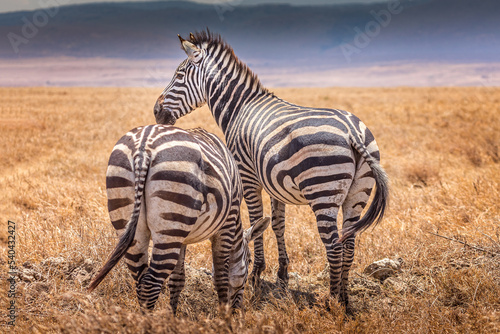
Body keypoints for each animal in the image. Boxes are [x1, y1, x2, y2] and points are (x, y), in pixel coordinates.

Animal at [88, 123, 272, 314]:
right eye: (249, 260)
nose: (238, 312)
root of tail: (143, 147)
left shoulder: (182, 238)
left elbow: (177, 279)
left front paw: (173, 317)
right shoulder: (227, 223)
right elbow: (221, 277)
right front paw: (224, 317)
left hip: (134, 220)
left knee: (140, 281)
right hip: (172, 217)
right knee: (151, 284)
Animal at [154, 30, 388, 308]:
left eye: (179, 75)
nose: (156, 112)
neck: (239, 108)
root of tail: (353, 131)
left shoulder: (247, 176)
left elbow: (257, 221)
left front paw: (256, 274)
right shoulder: (276, 183)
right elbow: (277, 224)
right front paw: (282, 274)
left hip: (323, 191)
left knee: (334, 246)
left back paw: (331, 302)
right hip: (357, 193)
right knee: (349, 243)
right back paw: (344, 300)